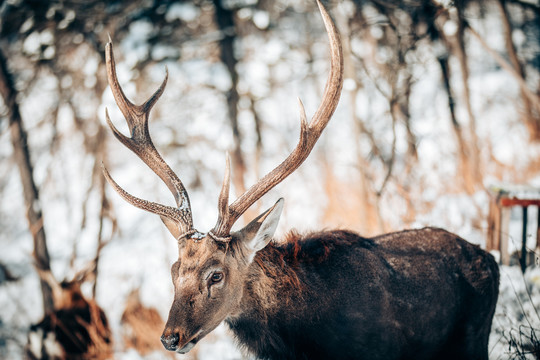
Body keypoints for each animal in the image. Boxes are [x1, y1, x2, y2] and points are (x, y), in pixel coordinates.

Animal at [100, 1, 498, 358]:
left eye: (215, 275)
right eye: (174, 270)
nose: (170, 337)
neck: (306, 341)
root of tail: (490, 258)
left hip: (473, 339)